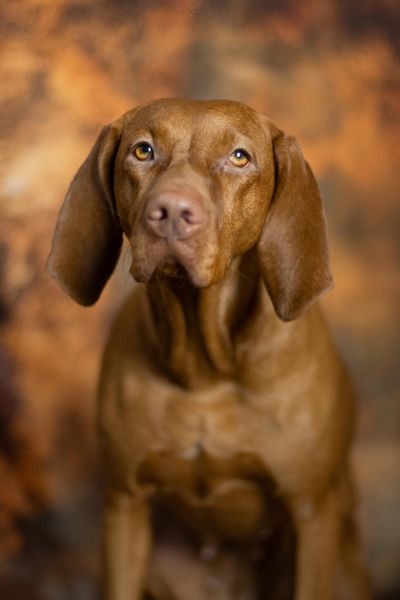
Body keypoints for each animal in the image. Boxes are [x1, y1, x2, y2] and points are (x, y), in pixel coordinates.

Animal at [47, 99, 372, 600]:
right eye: (143, 150)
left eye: (239, 157)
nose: (171, 211)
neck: (205, 369)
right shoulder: (124, 503)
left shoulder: (311, 512)